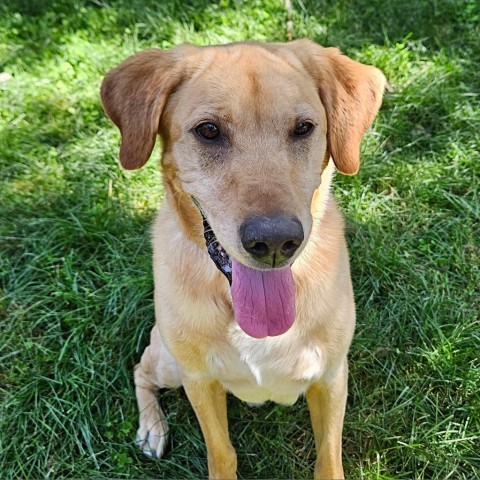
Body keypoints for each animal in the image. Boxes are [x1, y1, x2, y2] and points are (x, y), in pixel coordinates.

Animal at [101, 39, 386, 478]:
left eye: (303, 128)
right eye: (209, 131)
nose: (275, 241)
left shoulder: (331, 376)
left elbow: (328, 457)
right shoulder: (199, 380)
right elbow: (222, 454)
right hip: (168, 360)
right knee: (140, 371)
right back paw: (152, 428)